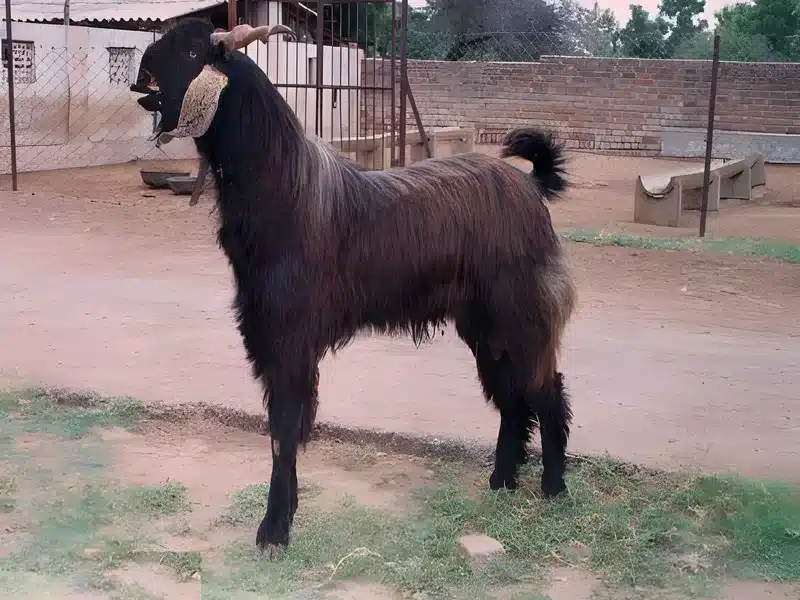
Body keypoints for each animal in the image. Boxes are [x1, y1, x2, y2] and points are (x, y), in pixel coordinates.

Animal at [131, 19, 577, 557]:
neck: (285, 190)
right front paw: (284, 517)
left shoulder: (291, 338)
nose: (142, 69)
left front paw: (274, 528)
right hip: (483, 325)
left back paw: (553, 486)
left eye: (194, 51)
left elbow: (284, 430)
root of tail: (530, 188)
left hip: (520, 315)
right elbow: (283, 430)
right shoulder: (269, 336)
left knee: (545, 390)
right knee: (512, 397)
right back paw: (502, 481)